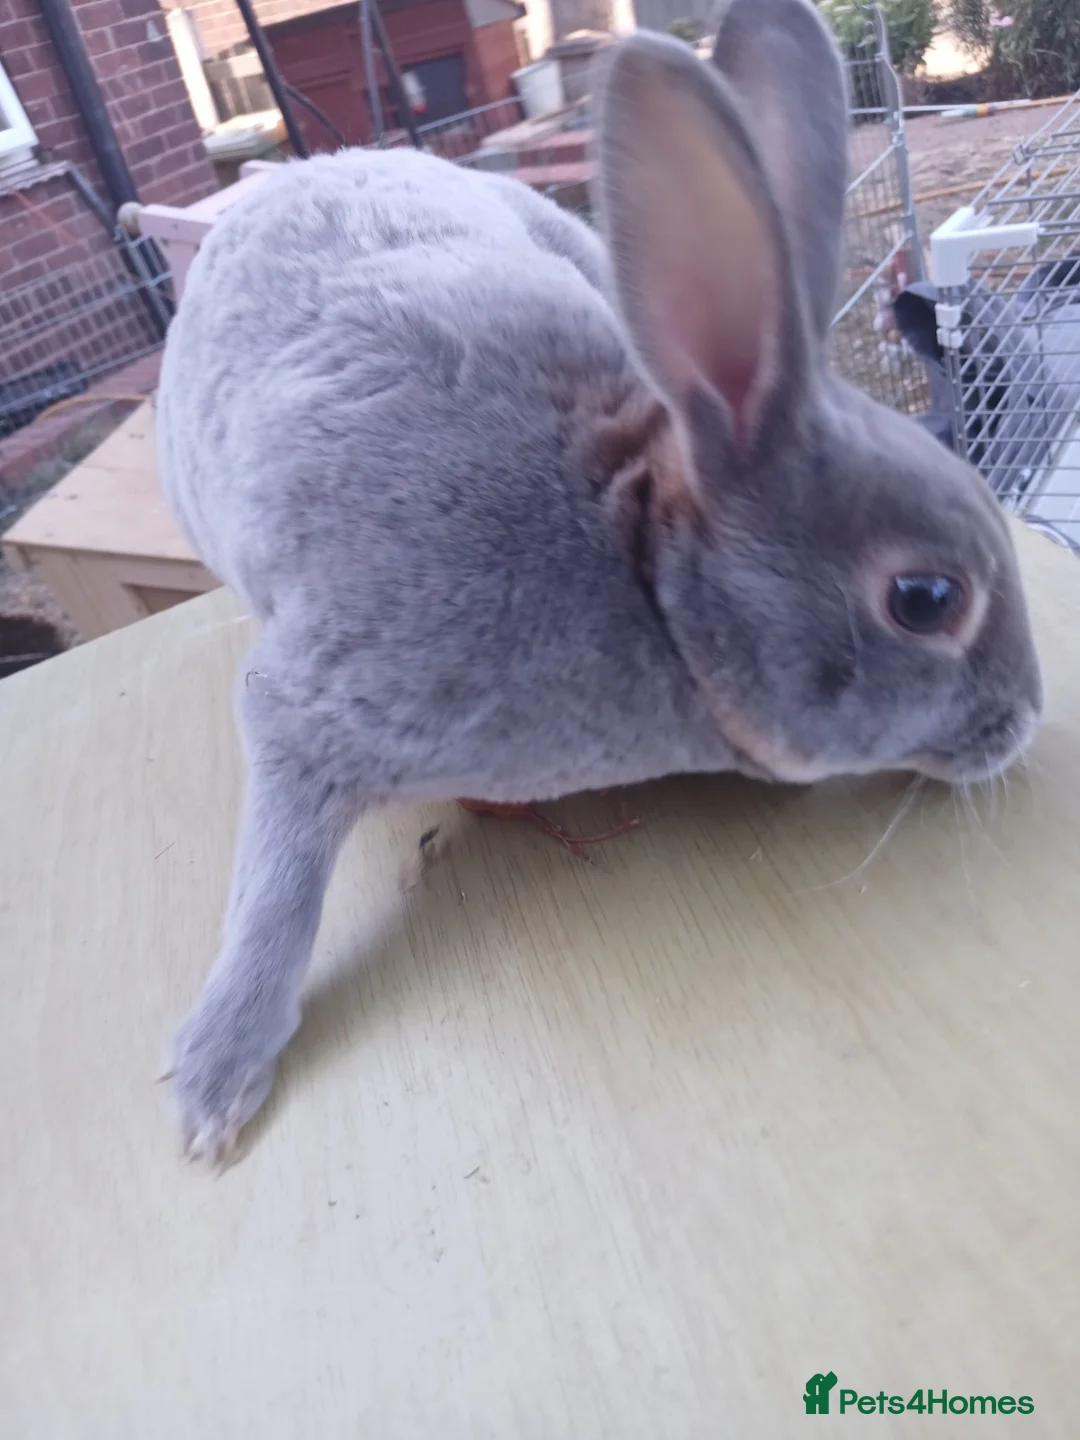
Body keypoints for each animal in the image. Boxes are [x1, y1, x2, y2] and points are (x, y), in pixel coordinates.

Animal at [156, 0, 1043, 1163]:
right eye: (927, 601)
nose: (1027, 720)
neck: (641, 571)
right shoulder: (323, 709)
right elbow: (277, 889)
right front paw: (215, 1082)